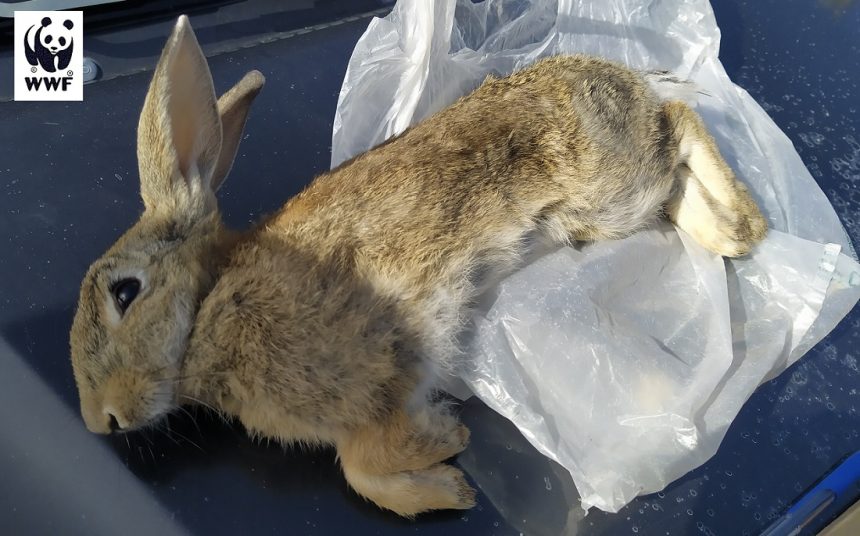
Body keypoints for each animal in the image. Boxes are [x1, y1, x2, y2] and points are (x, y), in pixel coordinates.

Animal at [69, 14, 764, 516]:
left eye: (125, 293)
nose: (99, 422)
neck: (210, 306)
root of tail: (628, 77)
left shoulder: (383, 372)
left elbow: (363, 462)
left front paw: (448, 455)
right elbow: (360, 469)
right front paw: (447, 470)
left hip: (615, 187)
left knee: (681, 124)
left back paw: (736, 232)